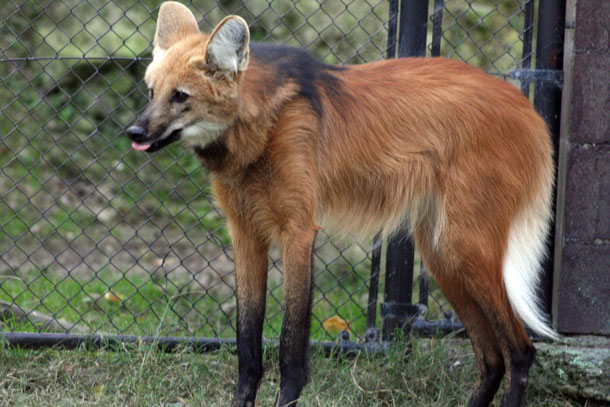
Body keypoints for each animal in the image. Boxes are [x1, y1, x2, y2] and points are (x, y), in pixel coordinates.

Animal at [127, 1, 556, 406]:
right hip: (442, 255)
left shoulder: (298, 229)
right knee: (492, 357)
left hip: (463, 246)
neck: (258, 129)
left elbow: (290, 345)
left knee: (520, 350)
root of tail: (527, 107)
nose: (133, 131)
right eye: (151, 93)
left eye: (180, 97)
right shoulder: (245, 232)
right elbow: (247, 344)